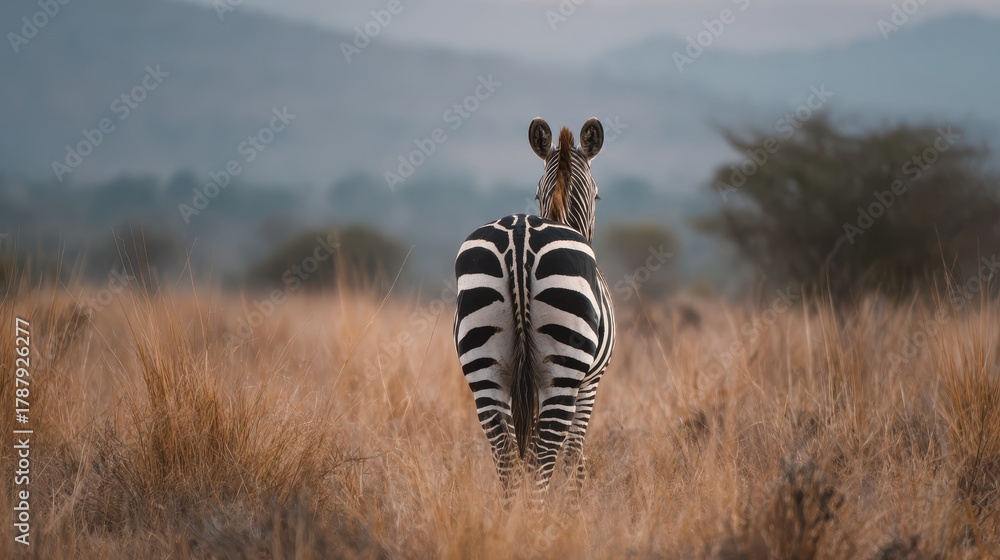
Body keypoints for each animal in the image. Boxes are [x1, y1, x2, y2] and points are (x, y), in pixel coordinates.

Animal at [453, 117, 615, 498]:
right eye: (598, 195)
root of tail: (520, 235)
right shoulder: (590, 382)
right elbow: (573, 457)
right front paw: (573, 505)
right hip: (564, 367)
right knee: (545, 455)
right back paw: (536, 515)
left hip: (484, 366)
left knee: (508, 455)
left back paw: (513, 515)